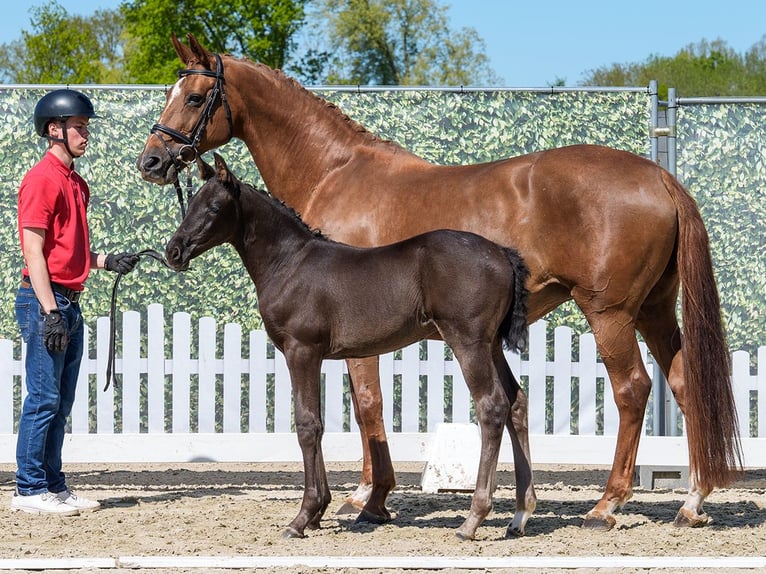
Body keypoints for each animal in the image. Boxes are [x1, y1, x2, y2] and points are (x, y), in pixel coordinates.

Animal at [164, 152, 534, 540]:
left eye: (213, 207)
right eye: (191, 202)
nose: (173, 251)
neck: (290, 263)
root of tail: (502, 253)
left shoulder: (301, 350)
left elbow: (307, 425)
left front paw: (302, 517)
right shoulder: (317, 356)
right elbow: (317, 423)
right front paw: (317, 513)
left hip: (469, 342)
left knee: (492, 406)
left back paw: (472, 519)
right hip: (491, 345)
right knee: (515, 402)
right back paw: (520, 515)